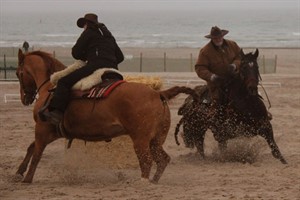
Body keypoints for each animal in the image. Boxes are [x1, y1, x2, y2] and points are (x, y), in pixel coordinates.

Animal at [16, 49, 196, 184]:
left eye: (18, 73)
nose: (25, 98)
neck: (50, 88)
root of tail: (157, 93)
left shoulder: (42, 129)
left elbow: (37, 153)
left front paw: (27, 178)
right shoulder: (53, 132)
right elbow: (32, 147)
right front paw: (19, 171)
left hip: (141, 140)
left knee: (146, 161)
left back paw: (143, 182)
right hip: (156, 140)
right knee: (163, 159)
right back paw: (153, 181)